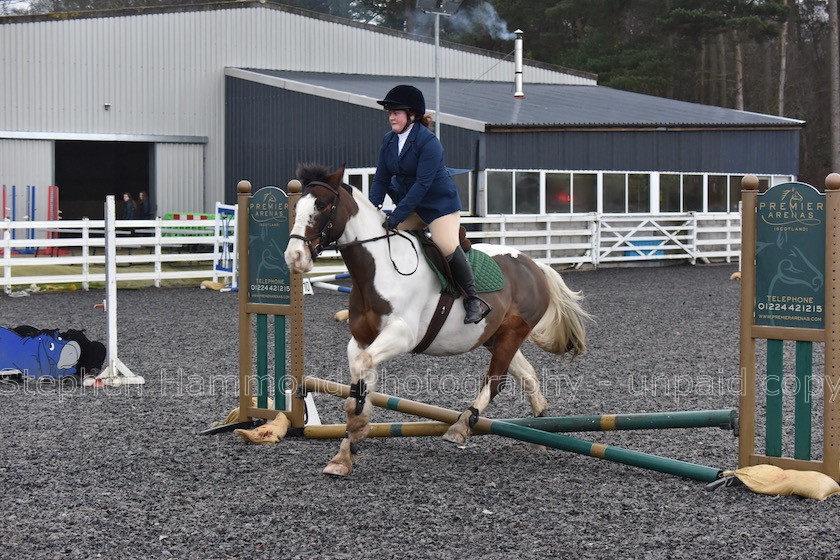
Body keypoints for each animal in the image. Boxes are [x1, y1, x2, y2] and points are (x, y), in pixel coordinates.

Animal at [286, 163, 588, 476]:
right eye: (296, 207)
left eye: (322, 205)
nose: (294, 257)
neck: (378, 268)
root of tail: (535, 266)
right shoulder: (360, 340)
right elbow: (360, 384)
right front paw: (345, 452)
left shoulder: (401, 335)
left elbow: (362, 371)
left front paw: (354, 434)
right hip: (496, 336)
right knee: (527, 374)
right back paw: (541, 428)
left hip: (513, 333)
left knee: (496, 380)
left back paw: (461, 426)